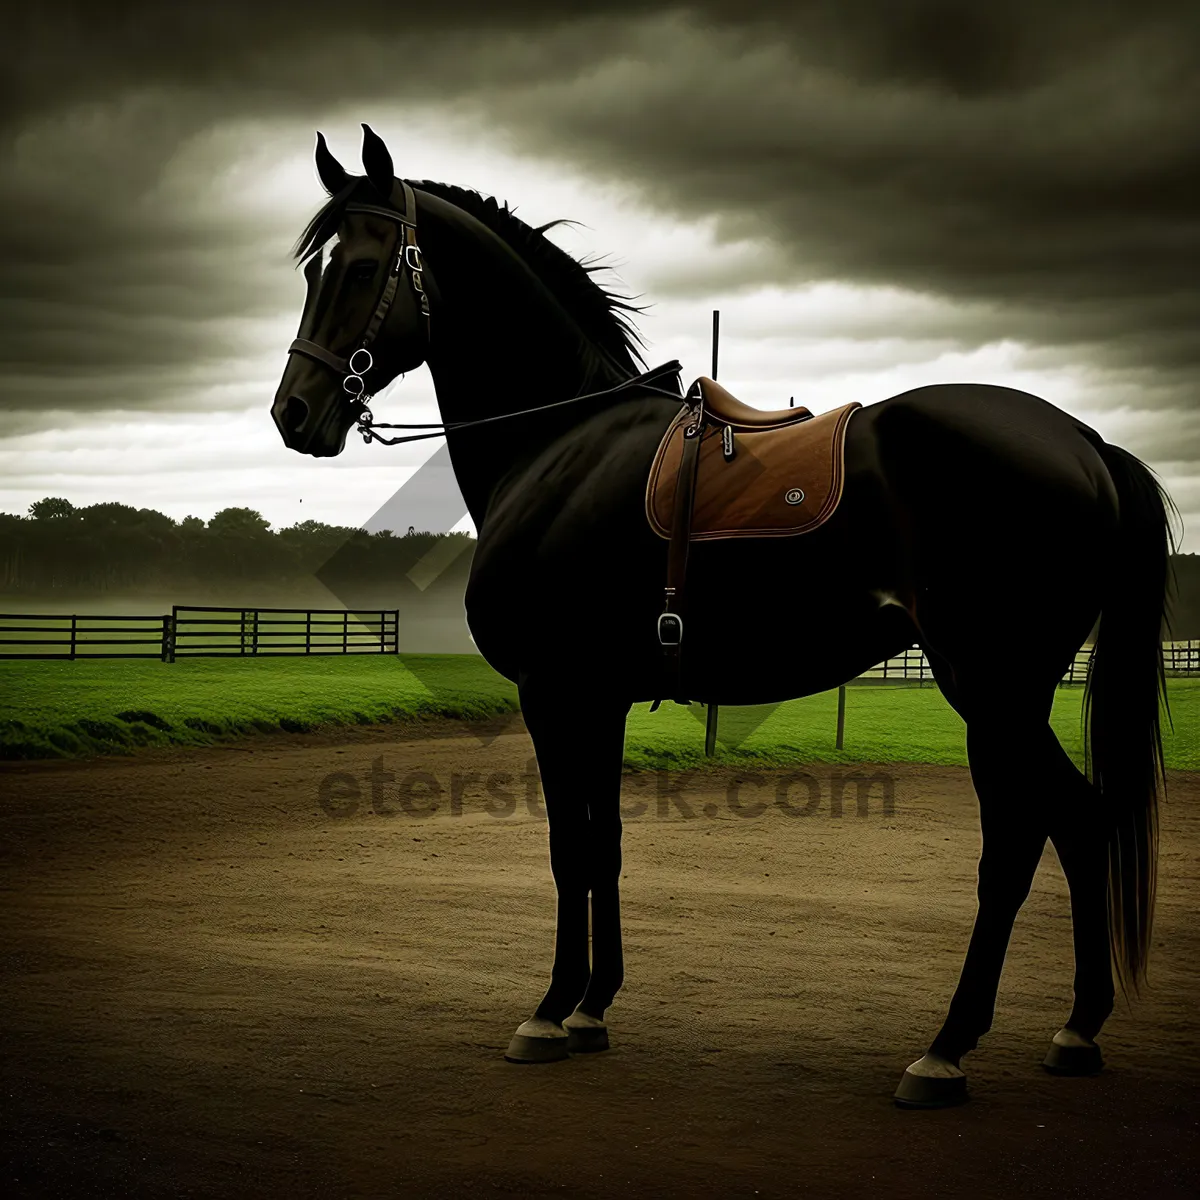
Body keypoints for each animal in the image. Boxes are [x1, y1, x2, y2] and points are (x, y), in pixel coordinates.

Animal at [270, 129, 1171, 1104]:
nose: (295, 412)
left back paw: (946, 1049)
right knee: (1076, 825)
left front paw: (547, 1011)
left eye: (361, 268)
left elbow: (566, 848)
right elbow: (605, 843)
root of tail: (1085, 443)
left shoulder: (553, 694)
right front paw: (591, 1007)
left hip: (993, 692)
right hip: (1014, 697)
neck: (562, 447)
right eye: (314, 269)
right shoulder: (601, 700)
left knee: (1023, 842)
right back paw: (1075, 1028)